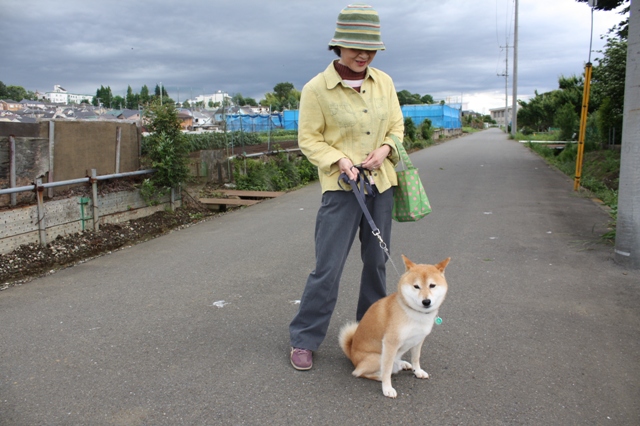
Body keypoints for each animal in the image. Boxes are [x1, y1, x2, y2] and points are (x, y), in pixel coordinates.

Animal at [340, 256, 450, 400]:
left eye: (432, 285)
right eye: (416, 286)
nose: (426, 302)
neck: (413, 313)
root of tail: (352, 354)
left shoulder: (418, 339)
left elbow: (416, 358)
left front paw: (418, 371)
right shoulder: (390, 343)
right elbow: (387, 370)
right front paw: (387, 388)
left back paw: (402, 363)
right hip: (377, 357)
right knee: (360, 372)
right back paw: (380, 376)